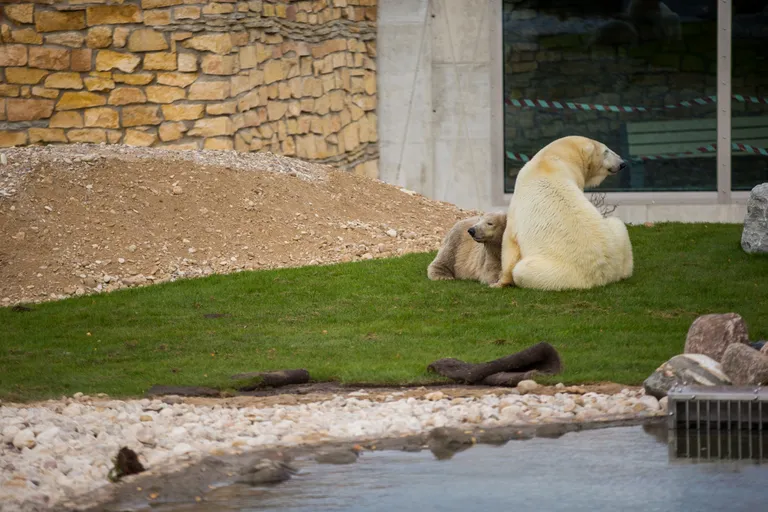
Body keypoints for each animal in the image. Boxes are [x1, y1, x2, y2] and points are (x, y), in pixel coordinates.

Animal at [496, 135, 632, 292]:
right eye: (606, 151)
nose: (622, 163)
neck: (549, 160)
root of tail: (603, 274)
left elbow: (509, 241)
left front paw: (500, 281)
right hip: (616, 247)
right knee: (617, 225)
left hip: (556, 272)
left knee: (521, 270)